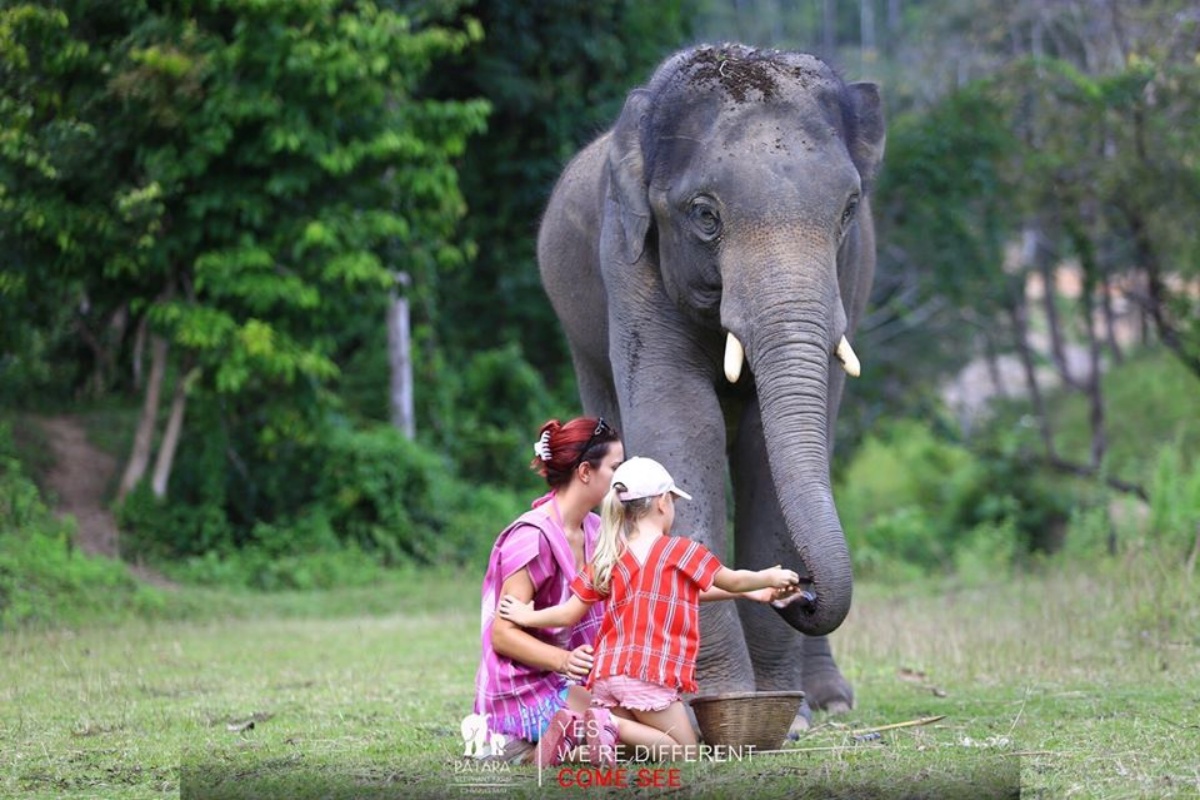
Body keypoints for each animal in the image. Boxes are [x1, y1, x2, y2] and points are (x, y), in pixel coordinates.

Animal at [540, 45, 888, 719]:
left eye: (848, 210)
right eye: (705, 216)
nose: (803, 591)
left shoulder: (851, 270)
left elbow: (761, 446)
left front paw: (789, 713)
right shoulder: (629, 263)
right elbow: (681, 421)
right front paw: (720, 700)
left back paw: (831, 701)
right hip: (580, 340)